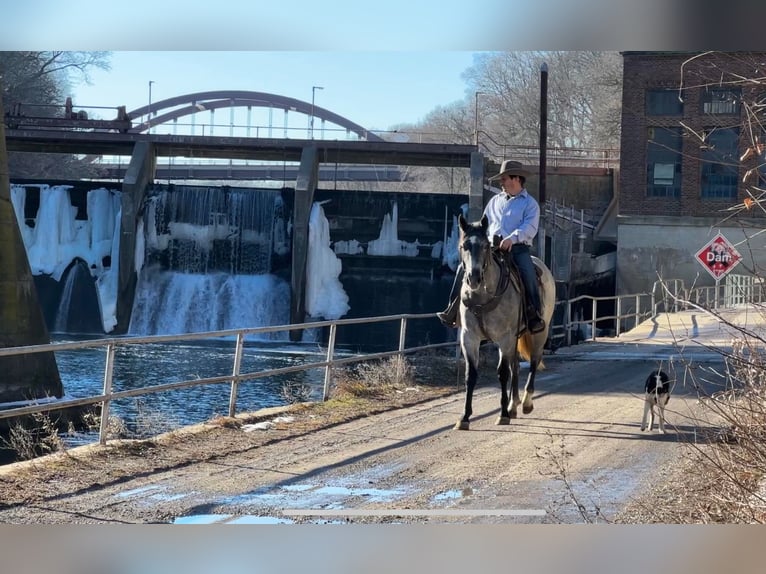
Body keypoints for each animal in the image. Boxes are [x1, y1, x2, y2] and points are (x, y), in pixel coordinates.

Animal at [456, 215, 560, 432]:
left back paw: (526, 403)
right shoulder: (469, 337)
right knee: (516, 367)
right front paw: (465, 417)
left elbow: (502, 373)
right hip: (514, 339)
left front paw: (502, 414)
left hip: (539, 334)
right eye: (464, 246)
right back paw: (514, 405)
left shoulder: (504, 338)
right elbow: (471, 374)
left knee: (533, 363)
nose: (474, 277)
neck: (482, 296)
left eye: (485, 246)